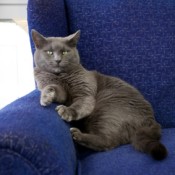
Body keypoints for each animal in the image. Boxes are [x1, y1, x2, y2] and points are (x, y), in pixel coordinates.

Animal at [32, 29, 167, 160]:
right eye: (49, 52)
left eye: (65, 52)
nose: (57, 60)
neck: (60, 76)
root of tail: (152, 121)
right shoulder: (59, 90)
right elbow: (55, 90)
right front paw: (46, 96)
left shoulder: (85, 92)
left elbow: (80, 104)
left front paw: (67, 111)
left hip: (106, 107)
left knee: (107, 142)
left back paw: (77, 134)